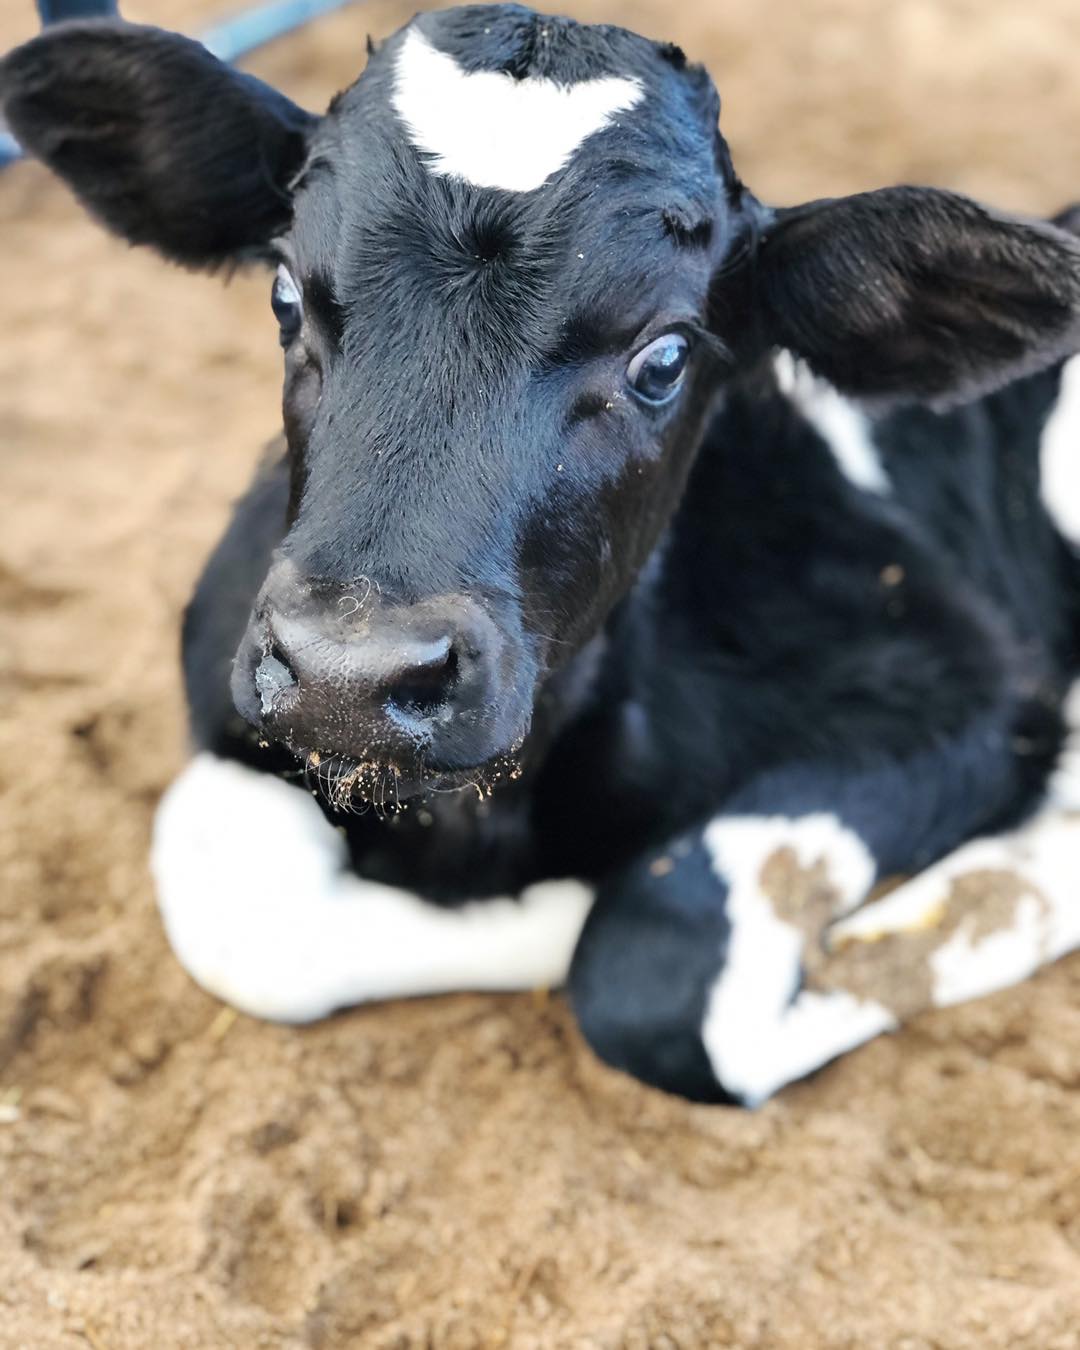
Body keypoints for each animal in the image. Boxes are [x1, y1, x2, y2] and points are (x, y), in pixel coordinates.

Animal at [4, 4, 1080, 1106]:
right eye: (285, 296)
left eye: (664, 357)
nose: (349, 677)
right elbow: (236, 906)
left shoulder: (957, 687)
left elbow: (650, 967)